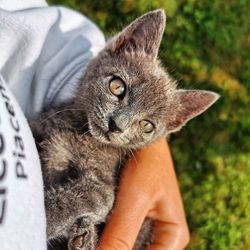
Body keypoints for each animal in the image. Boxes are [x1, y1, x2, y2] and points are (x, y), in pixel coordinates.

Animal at [30, 9, 219, 250]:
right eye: (117, 86)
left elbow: (78, 199)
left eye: (147, 125)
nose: (116, 125)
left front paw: (46, 218)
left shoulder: (103, 189)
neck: (79, 133)